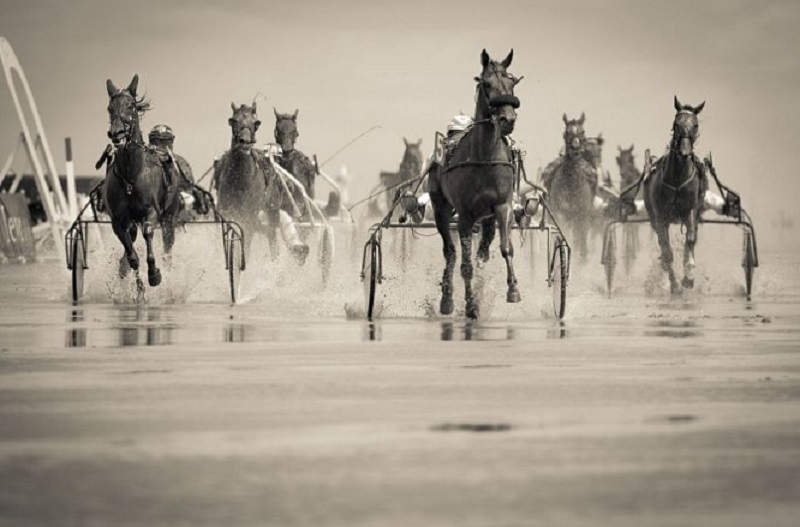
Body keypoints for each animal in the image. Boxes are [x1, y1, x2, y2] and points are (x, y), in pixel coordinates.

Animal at [216, 102, 282, 258]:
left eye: (255, 123)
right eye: (234, 120)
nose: (245, 142)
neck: (239, 180)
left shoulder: (248, 218)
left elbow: (245, 245)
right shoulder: (227, 214)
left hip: (272, 210)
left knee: (271, 236)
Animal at [428, 49, 520, 320]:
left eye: (511, 81)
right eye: (487, 83)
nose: (507, 119)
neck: (484, 157)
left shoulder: (502, 205)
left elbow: (506, 248)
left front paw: (513, 290)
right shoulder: (465, 215)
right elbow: (465, 264)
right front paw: (470, 305)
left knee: (485, 242)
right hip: (441, 209)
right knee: (450, 252)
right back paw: (447, 299)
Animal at [548, 112, 596, 260]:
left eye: (582, 131)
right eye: (566, 132)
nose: (575, 149)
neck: (571, 184)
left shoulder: (581, 215)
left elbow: (581, 240)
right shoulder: (561, 214)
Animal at [644, 97, 708, 294]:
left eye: (695, 124)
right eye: (676, 124)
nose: (685, 151)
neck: (678, 179)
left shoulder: (690, 211)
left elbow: (690, 240)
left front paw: (688, 278)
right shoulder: (661, 216)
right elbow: (667, 251)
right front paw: (674, 284)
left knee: (690, 241)